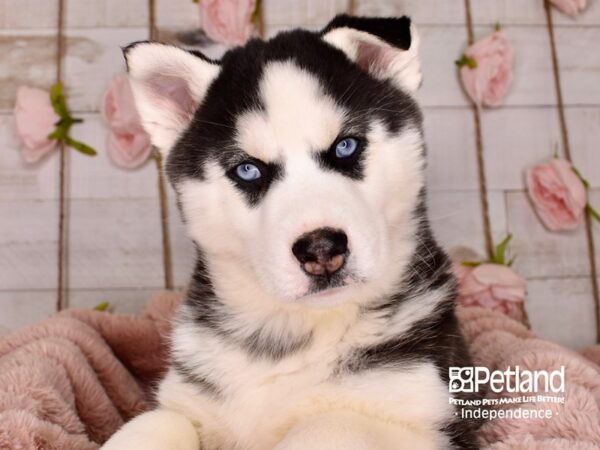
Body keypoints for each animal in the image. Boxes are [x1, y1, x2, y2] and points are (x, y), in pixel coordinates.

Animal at [102, 14, 478, 450]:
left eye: (346, 146)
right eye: (248, 169)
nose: (321, 249)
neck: (294, 334)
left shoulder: (432, 420)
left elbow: (330, 424)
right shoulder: (191, 402)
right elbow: (155, 422)